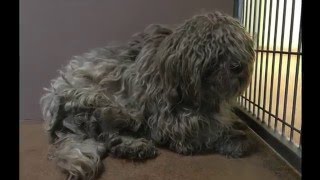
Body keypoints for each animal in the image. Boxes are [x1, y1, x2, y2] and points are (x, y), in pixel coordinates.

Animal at [40, 11, 255, 180]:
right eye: (216, 49)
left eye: (238, 46)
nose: (238, 66)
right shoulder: (170, 121)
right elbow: (207, 130)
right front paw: (232, 138)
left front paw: (235, 126)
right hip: (103, 101)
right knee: (105, 132)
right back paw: (133, 145)